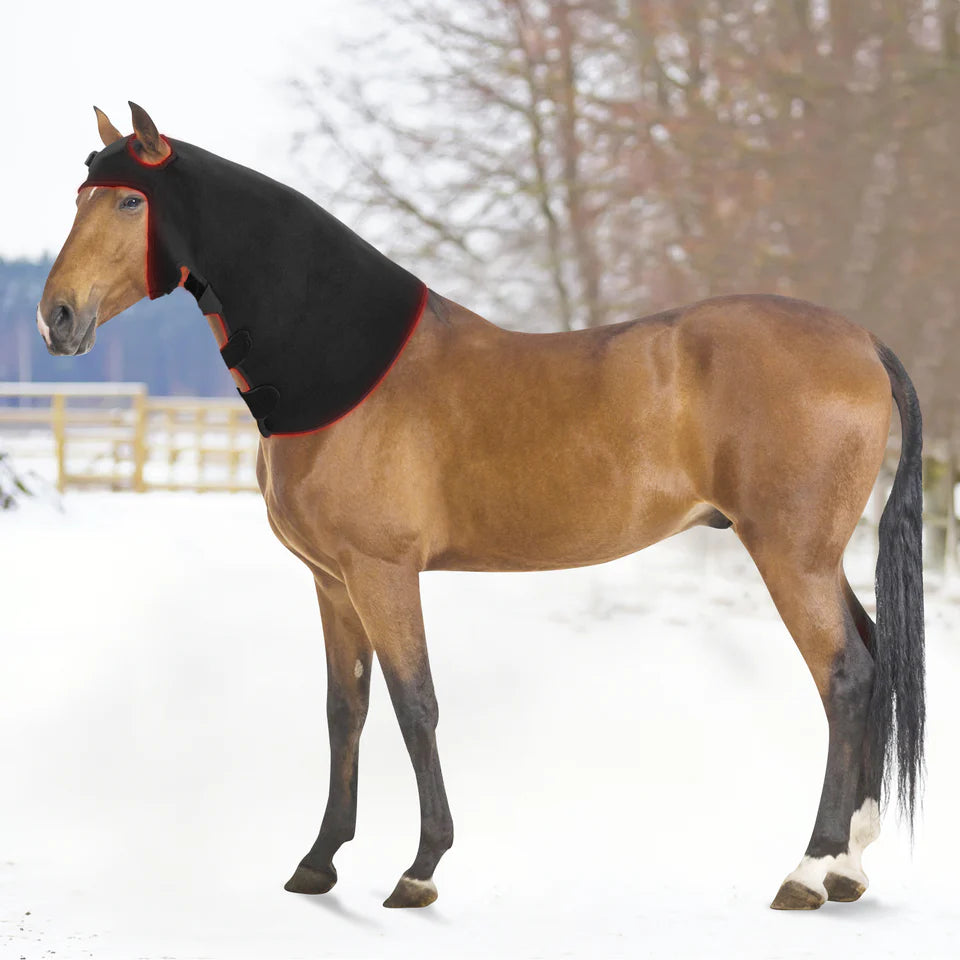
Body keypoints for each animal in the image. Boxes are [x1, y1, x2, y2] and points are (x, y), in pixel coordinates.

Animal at [38, 103, 924, 911]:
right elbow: (345, 710)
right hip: (815, 556)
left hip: (788, 553)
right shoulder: (331, 582)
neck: (346, 367)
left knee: (844, 677)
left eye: (128, 203)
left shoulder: (383, 572)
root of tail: (863, 342)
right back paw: (849, 865)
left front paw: (420, 868)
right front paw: (319, 864)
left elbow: (415, 705)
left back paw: (809, 869)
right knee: (872, 658)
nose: (58, 316)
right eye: (80, 195)